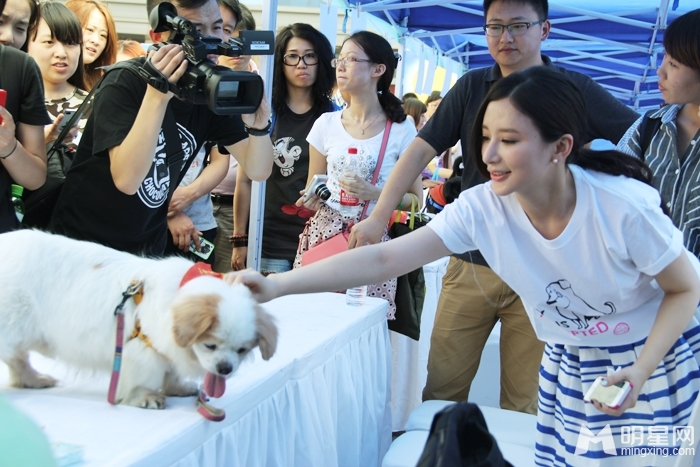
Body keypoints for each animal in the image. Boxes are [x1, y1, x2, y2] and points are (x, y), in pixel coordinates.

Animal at [0, 230, 278, 410]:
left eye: (242, 350)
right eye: (210, 346)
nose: (225, 369)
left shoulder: (166, 349)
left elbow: (171, 371)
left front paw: (178, 387)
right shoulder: (144, 348)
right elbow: (144, 377)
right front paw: (146, 397)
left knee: (18, 359)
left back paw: (33, 380)